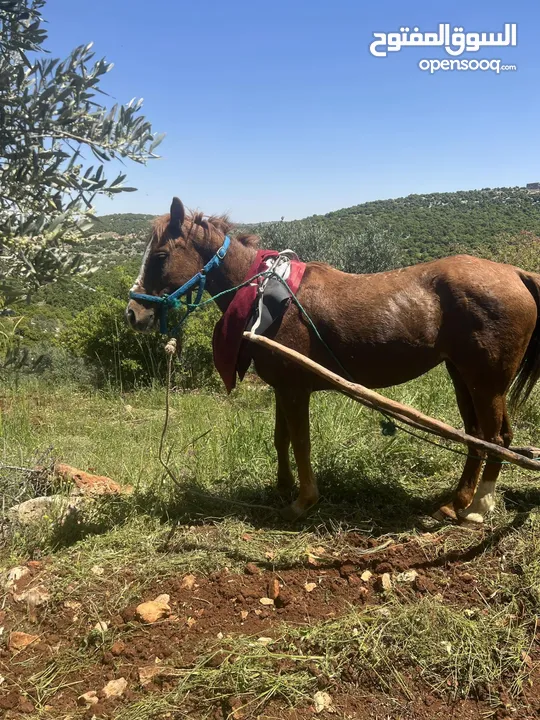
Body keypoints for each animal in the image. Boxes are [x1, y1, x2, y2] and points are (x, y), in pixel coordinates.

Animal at [124, 197, 540, 524]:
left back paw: (479, 505)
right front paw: (282, 488)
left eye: (160, 256)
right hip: (464, 376)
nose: (132, 313)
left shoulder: (295, 389)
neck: (266, 297)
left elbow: (301, 442)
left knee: (494, 438)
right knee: (478, 437)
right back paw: (458, 501)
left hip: (487, 382)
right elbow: (281, 439)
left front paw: (303, 501)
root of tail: (515, 273)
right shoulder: (283, 387)